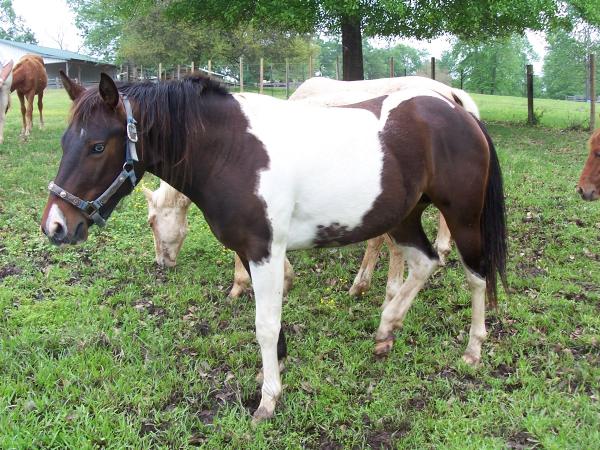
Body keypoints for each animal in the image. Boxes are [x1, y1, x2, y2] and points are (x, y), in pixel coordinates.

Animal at [39, 74, 506, 422]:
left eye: (98, 146)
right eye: (63, 143)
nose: (56, 227)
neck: (233, 151)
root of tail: (457, 111)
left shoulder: (264, 250)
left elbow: (264, 324)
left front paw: (267, 401)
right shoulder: (253, 252)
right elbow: (273, 324)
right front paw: (277, 373)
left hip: (463, 218)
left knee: (476, 274)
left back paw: (472, 350)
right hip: (405, 216)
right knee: (425, 263)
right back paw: (386, 328)